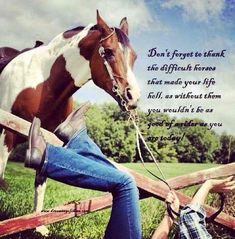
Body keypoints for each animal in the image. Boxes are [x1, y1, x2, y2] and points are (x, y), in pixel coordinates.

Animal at [0, 11, 140, 235]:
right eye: (109, 52)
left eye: (134, 56)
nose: (133, 97)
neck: (43, 84)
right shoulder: (6, 135)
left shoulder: (47, 138)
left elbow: (41, 182)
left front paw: (38, 227)